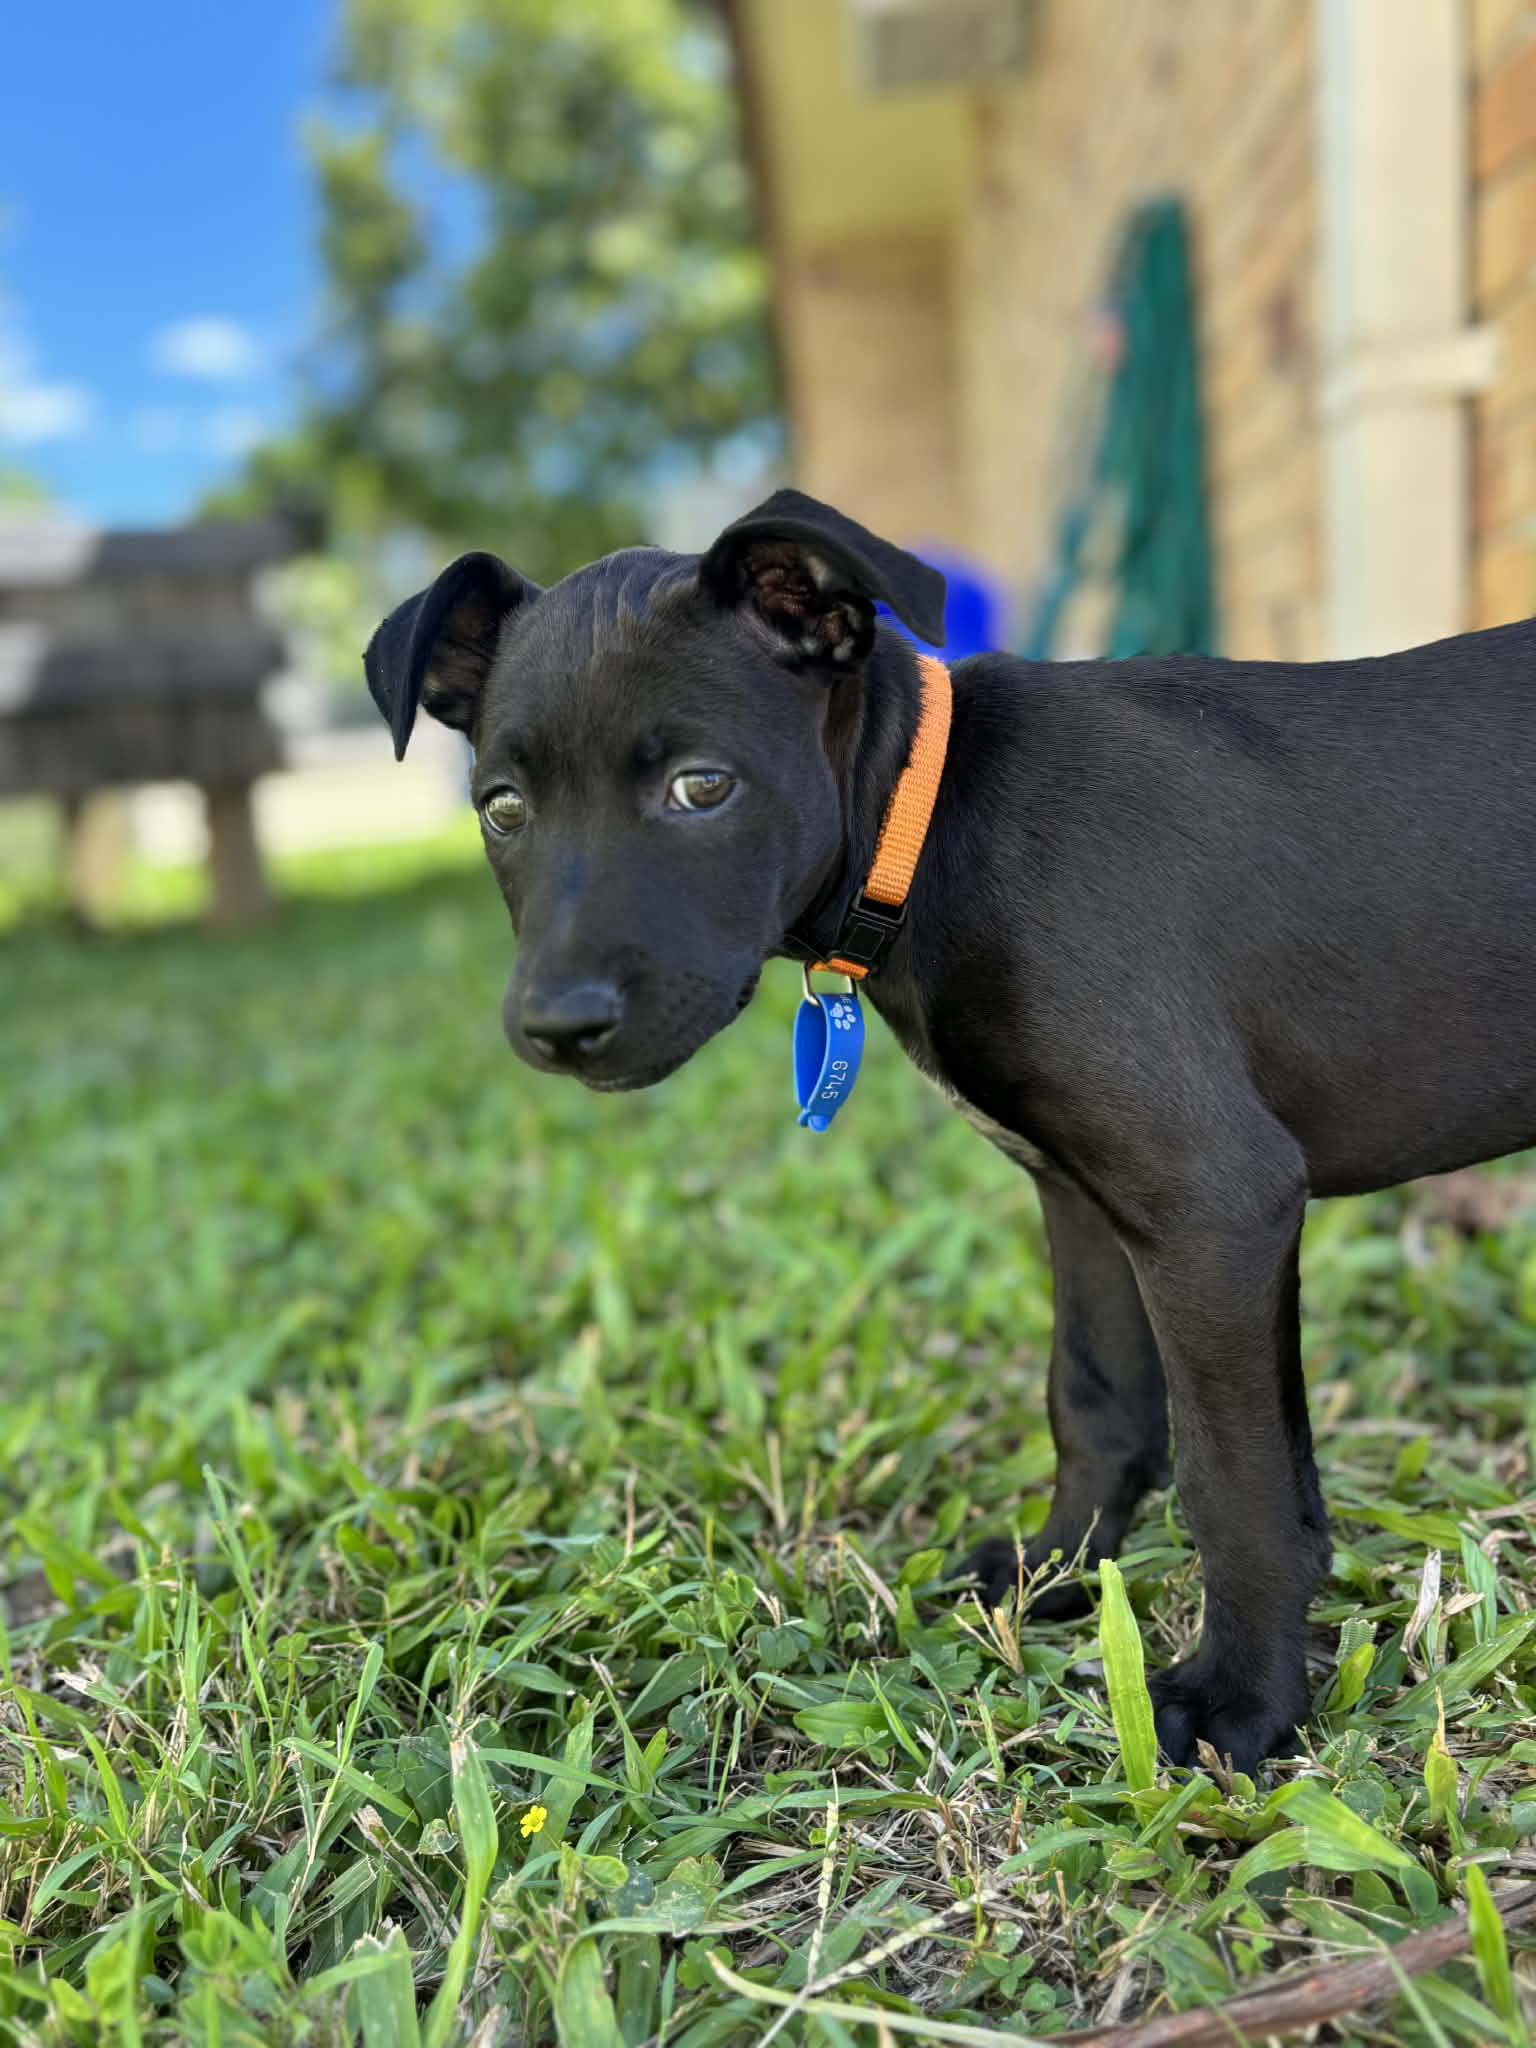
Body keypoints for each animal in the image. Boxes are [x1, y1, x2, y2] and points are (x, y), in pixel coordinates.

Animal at [365, 488, 1536, 1773]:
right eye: (502, 808)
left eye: (701, 786)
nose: (557, 1024)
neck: (926, 823)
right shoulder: (1087, 1196)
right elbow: (1100, 1397)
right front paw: (1058, 1567)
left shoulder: (1213, 1199)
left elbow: (1234, 1479)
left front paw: (1242, 1694)